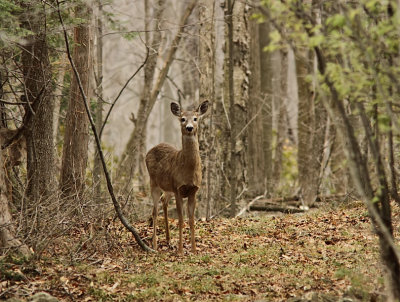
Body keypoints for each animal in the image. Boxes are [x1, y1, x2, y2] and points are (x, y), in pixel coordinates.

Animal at [146, 100, 209, 254]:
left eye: (195, 118)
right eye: (182, 118)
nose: (189, 128)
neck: (188, 172)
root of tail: (149, 151)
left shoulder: (193, 190)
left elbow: (191, 220)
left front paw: (194, 250)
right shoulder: (178, 189)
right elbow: (181, 219)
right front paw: (180, 250)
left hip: (168, 188)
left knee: (164, 201)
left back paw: (168, 240)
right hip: (154, 183)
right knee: (154, 211)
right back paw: (154, 245)